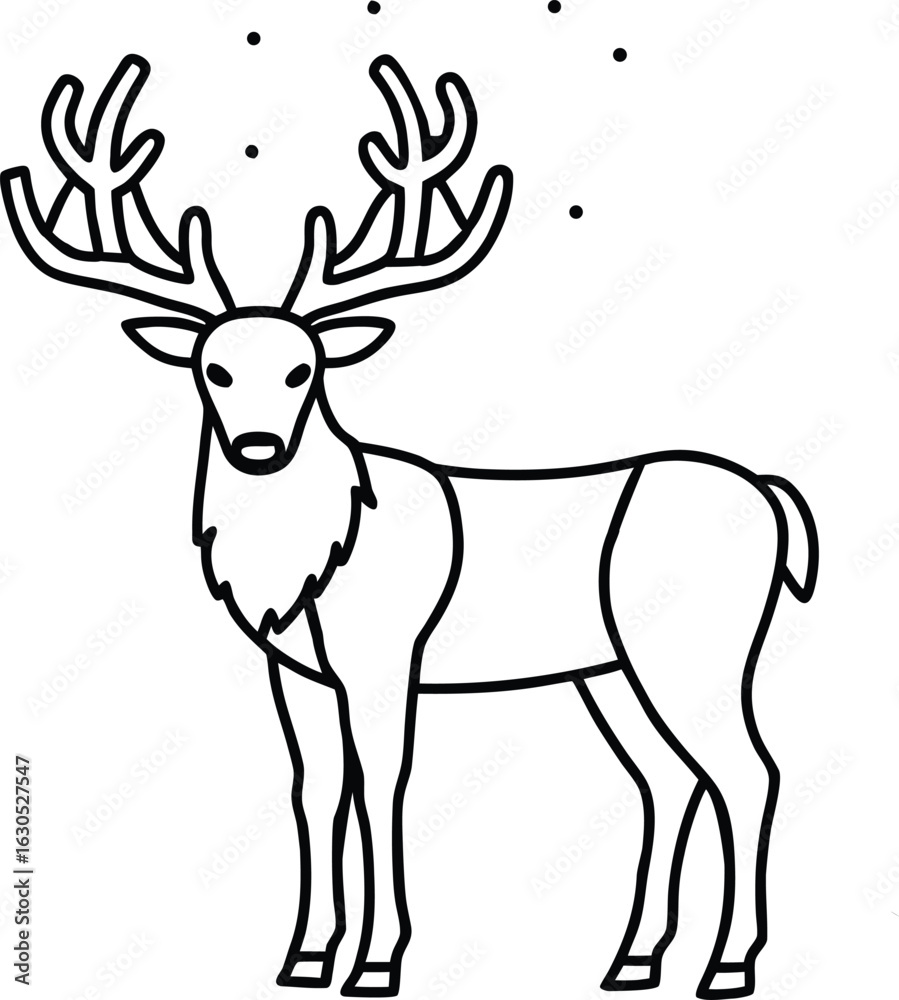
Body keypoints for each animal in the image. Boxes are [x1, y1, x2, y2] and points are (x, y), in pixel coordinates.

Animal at [2, 53, 818, 999]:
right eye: (213, 369)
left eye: (303, 369)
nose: (256, 447)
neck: (316, 560)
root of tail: (770, 494)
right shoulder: (295, 670)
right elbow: (315, 789)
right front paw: (304, 957)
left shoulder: (384, 654)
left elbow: (383, 782)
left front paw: (376, 961)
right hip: (610, 667)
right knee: (666, 779)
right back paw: (632, 959)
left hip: (701, 643)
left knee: (748, 771)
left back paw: (729, 965)